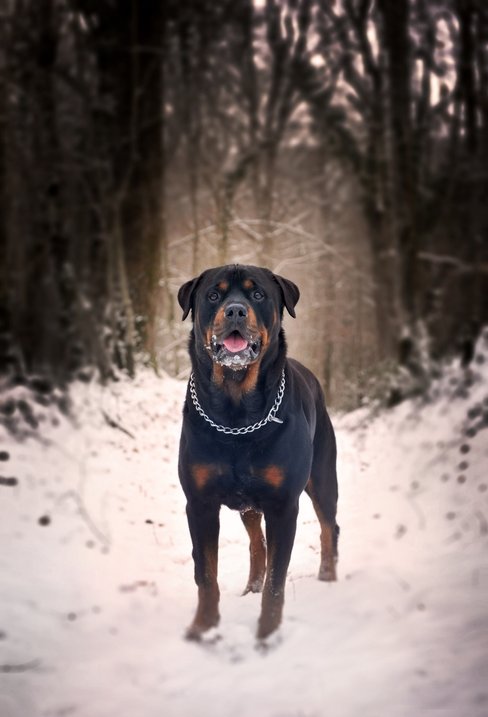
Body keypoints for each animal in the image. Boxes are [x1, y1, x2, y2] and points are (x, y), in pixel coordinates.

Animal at [177, 266, 338, 640]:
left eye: (258, 294)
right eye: (213, 295)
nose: (236, 310)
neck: (236, 413)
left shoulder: (283, 505)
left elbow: (277, 581)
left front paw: (267, 631)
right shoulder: (200, 504)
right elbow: (206, 574)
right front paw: (203, 626)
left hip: (323, 477)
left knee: (329, 526)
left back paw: (328, 576)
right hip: (248, 502)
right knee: (256, 541)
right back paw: (252, 584)